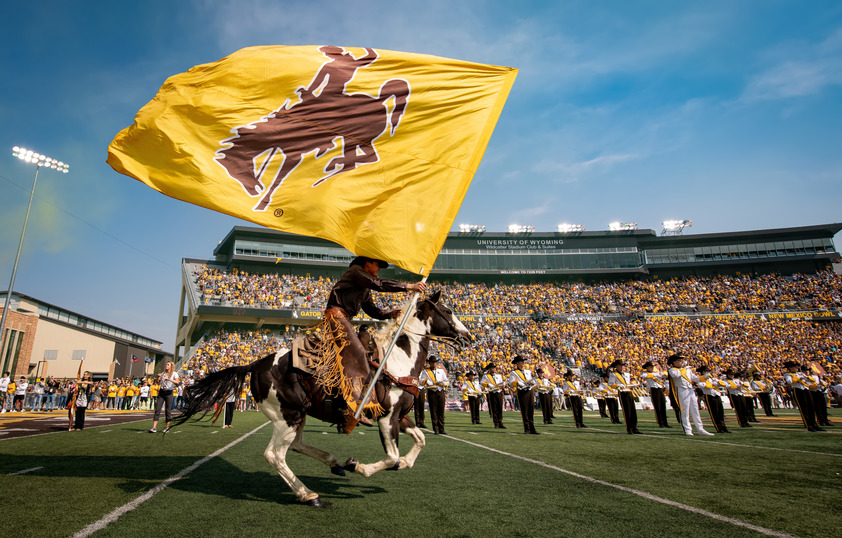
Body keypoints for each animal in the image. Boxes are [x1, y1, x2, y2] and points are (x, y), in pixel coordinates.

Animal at [176, 288, 470, 502]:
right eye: (448, 310)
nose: (468, 337)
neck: (396, 359)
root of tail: (255, 364)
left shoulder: (401, 416)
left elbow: (420, 440)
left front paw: (398, 463)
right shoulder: (387, 418)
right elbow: (391, 457)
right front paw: (358, 466)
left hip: (299, 414)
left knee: (295, 445)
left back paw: (333, 464)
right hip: (288, 415)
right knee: (275, 455)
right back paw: (308, 494)